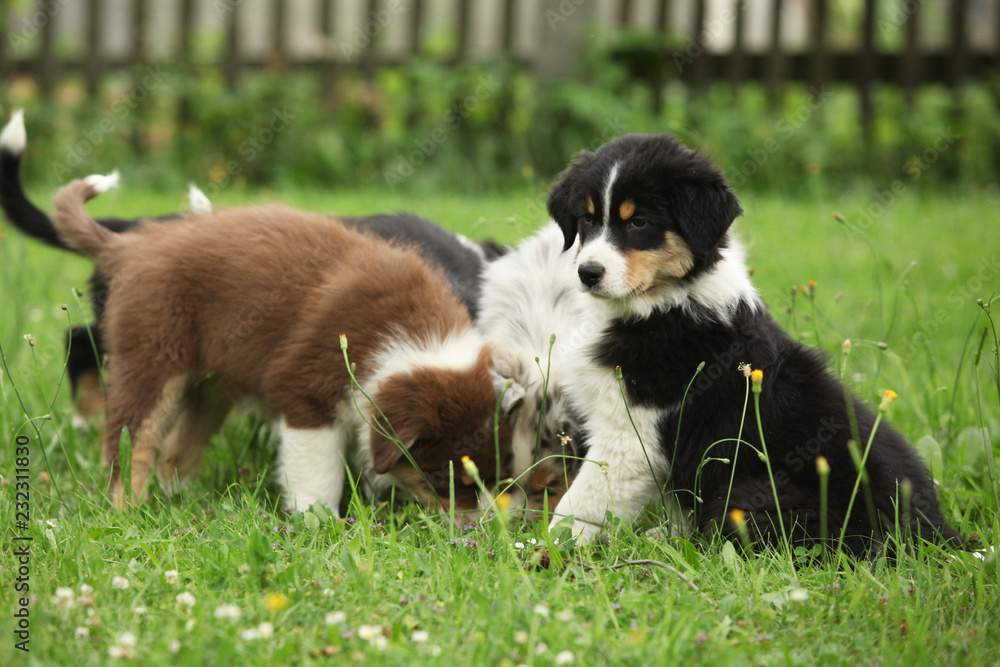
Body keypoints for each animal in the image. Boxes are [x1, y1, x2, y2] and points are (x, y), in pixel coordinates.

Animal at [47, 175, 516, 516]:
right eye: (440, 478)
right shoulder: (306, 396)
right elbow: (316, 473)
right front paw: (318, 523)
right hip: (151, 358)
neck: (406, 334)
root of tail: (133, 243)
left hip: (212, 383)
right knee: (130, 441)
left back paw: (184, 498)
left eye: (495, 472)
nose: (476, 532)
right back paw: (128, 508)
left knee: (179, 448)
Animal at [548, 132, 960, 552]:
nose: (588, 273)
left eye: (639, 222)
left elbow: (580, 504)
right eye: (587, 218)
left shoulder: (631, 433)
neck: (664, 303)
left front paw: (546, 550)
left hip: (752, 495)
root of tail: (938, 536)